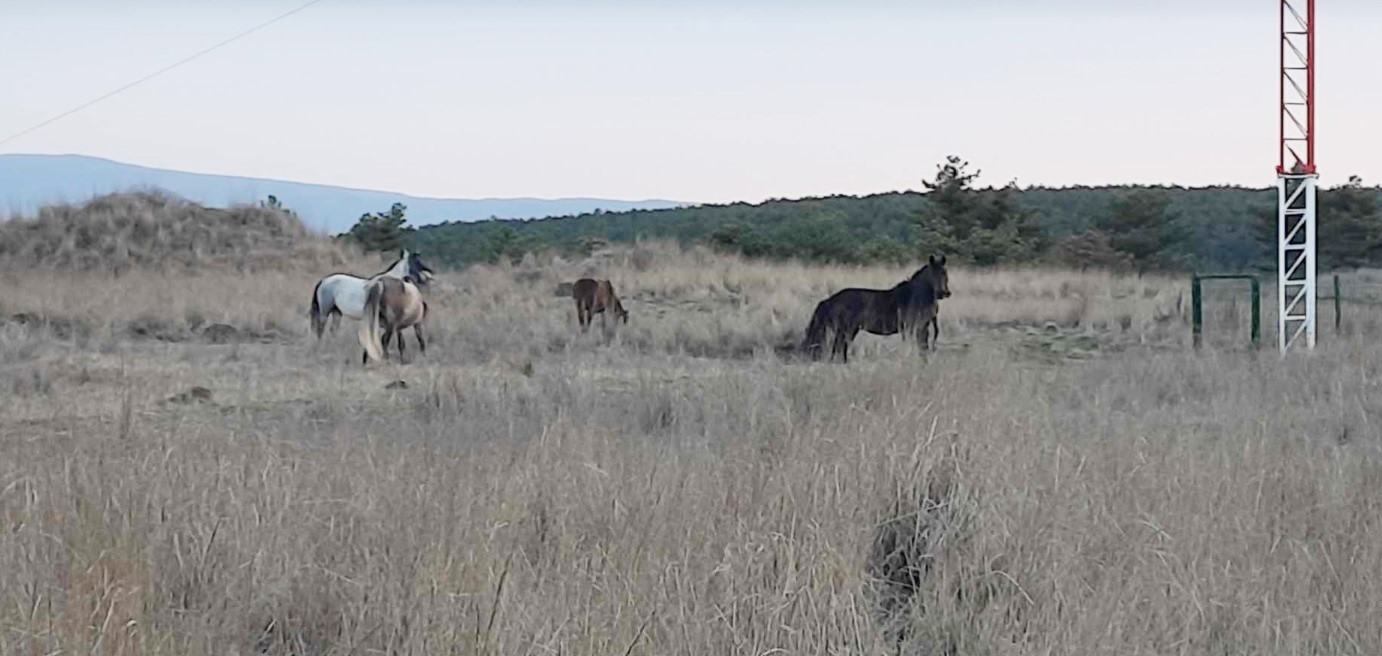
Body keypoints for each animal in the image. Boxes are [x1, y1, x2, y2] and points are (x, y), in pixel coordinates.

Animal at [801, 255, 950, 364]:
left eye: (945, 274)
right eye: (933, 274)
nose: (944, 293)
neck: (914, 296)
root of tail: (830, 300)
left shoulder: (923, 327)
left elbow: (923, 347)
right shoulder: (915, 327)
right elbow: (920, 346)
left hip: (848, 331)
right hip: (845, 330)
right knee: (838, 348)